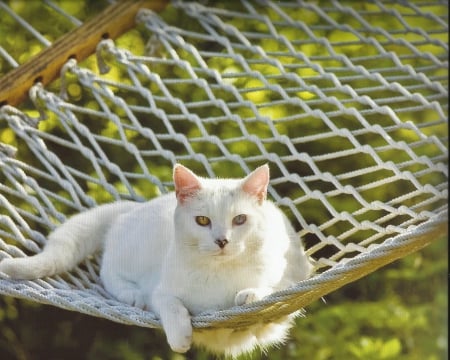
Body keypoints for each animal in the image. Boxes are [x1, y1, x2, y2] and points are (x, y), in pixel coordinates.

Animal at [0, 164, 312, 358]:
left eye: (240, 220)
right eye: (202, 220)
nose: (222, 240)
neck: (218, 274)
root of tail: (133, 207)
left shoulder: (292, 280)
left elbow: (272, 292)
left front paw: (249, 295)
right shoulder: (160, 290)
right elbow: (170, 304)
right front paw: (180, 336)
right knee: (108, 271)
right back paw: (131, 294)